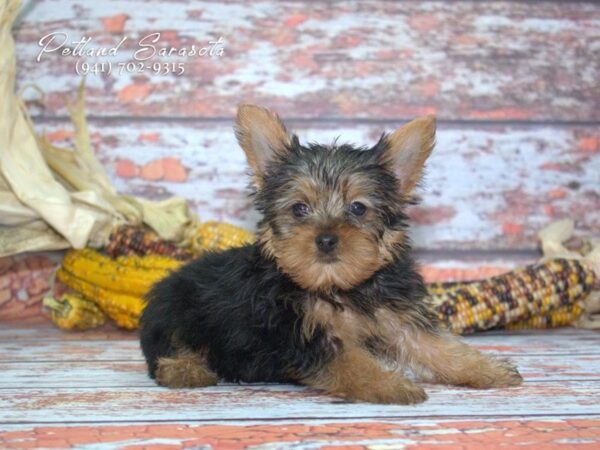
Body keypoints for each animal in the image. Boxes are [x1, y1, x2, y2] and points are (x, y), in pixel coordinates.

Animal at [139, 106, 520, 404]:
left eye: (358, 208)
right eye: (299, 209)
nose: (325, 239)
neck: (338, 286)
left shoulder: (398, 315)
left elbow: (435, 344)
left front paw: (486, 369)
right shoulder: (300, 333)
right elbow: (351, 362)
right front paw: (390, 385)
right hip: (173, 311)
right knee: (167, 348)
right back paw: (186, 369)